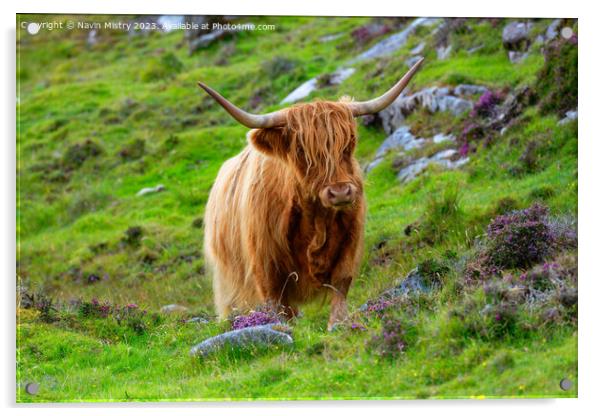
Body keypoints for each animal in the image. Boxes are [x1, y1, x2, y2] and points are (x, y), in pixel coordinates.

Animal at [200, 57, 422, 328]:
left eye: (349, 143)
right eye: (302, 151)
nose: (340, 193)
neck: (317, 220)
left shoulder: (350, 242)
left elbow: (341, 284)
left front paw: (338, 325)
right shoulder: (265, 264)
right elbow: (276, 304)